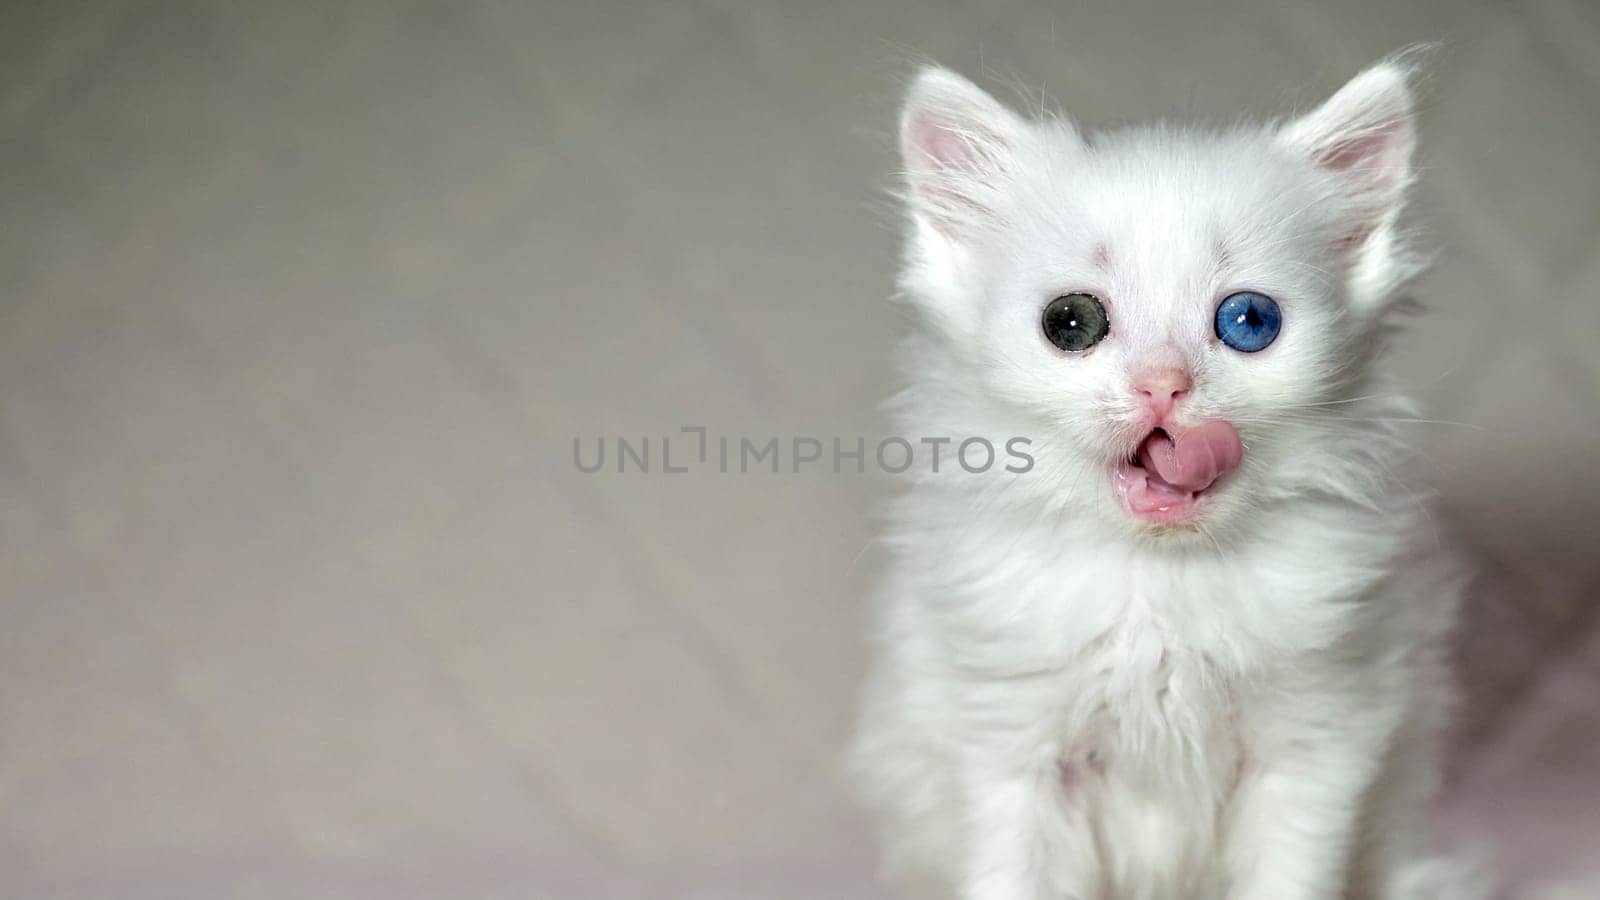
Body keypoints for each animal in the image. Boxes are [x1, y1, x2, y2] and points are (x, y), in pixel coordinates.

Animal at [851, 54, 1484, 896]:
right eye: (1071, 323)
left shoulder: (1317, 738)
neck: (1160, 586)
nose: (1164, 385)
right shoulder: (1014, 747)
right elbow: (1018, 870)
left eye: (1249, 322)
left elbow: (1290, 871)